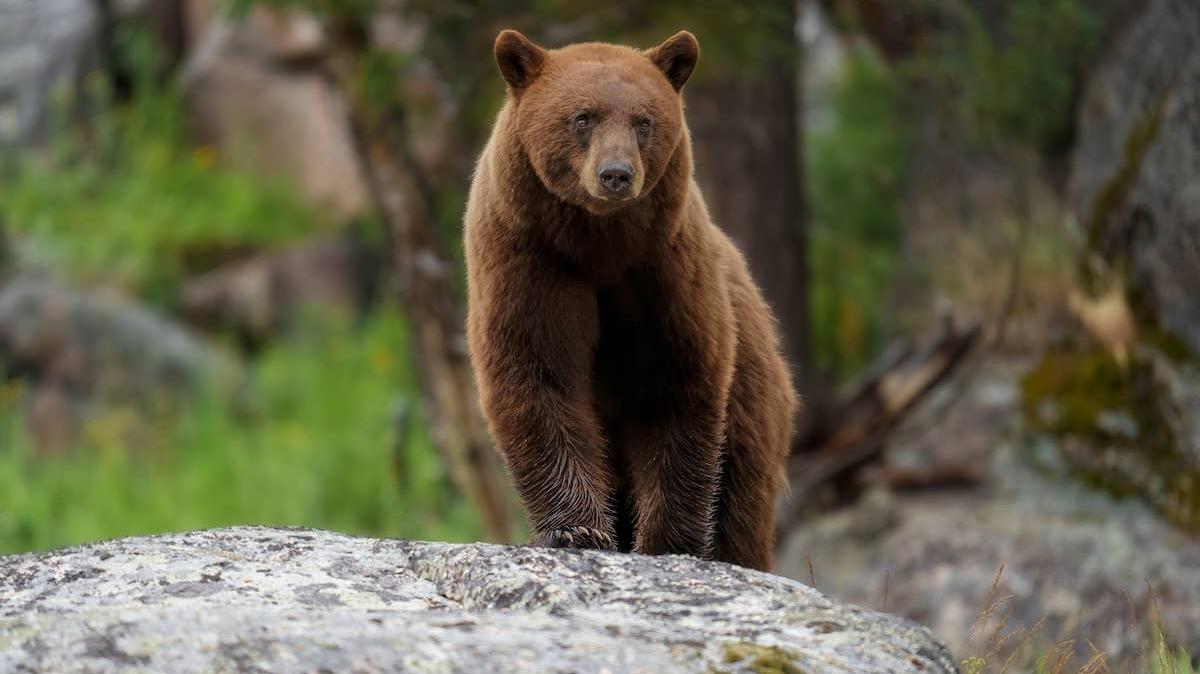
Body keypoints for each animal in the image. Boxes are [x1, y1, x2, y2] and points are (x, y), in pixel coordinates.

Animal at [463, 28, 798, 571]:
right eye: (583, 117)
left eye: (644, 121)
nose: (616, 174)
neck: (599, 243)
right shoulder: (530, 261)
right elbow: (537, 375)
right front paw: (575, 530)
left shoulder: (662, 271)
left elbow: (675, 383)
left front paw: (668, 541)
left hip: (754, 397)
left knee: (742, 500)